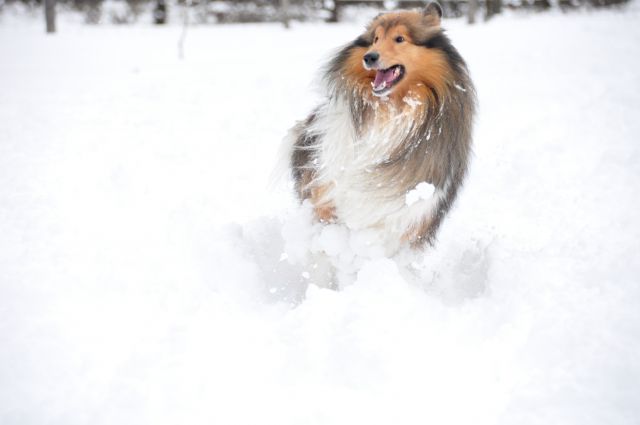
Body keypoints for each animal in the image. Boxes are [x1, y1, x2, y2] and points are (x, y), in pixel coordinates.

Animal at [284, 2, 476, 255]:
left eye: (400, 38)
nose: (370, 57)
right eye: (375, 39)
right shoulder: (325, 183)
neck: (389, 111)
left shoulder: (414, 217)